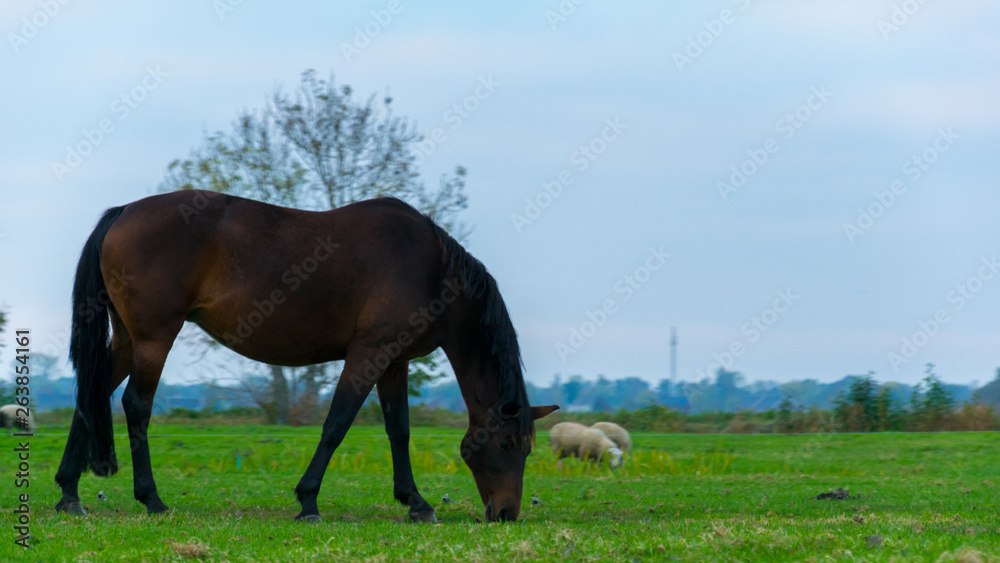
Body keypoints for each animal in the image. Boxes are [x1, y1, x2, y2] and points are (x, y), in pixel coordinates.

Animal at [56, 191, 556, 524]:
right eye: (508, 445)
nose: (506, 513)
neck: (433, 270)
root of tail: (123, 212)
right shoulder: (369, 354)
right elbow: (336, 424)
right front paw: (308, 500)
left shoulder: (394, 362)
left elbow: (399, 430)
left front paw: (415, 502)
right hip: (154, 339)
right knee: (135, 406)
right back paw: (152, 499)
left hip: (127, 341)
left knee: (90, 394)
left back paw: (69, 493)